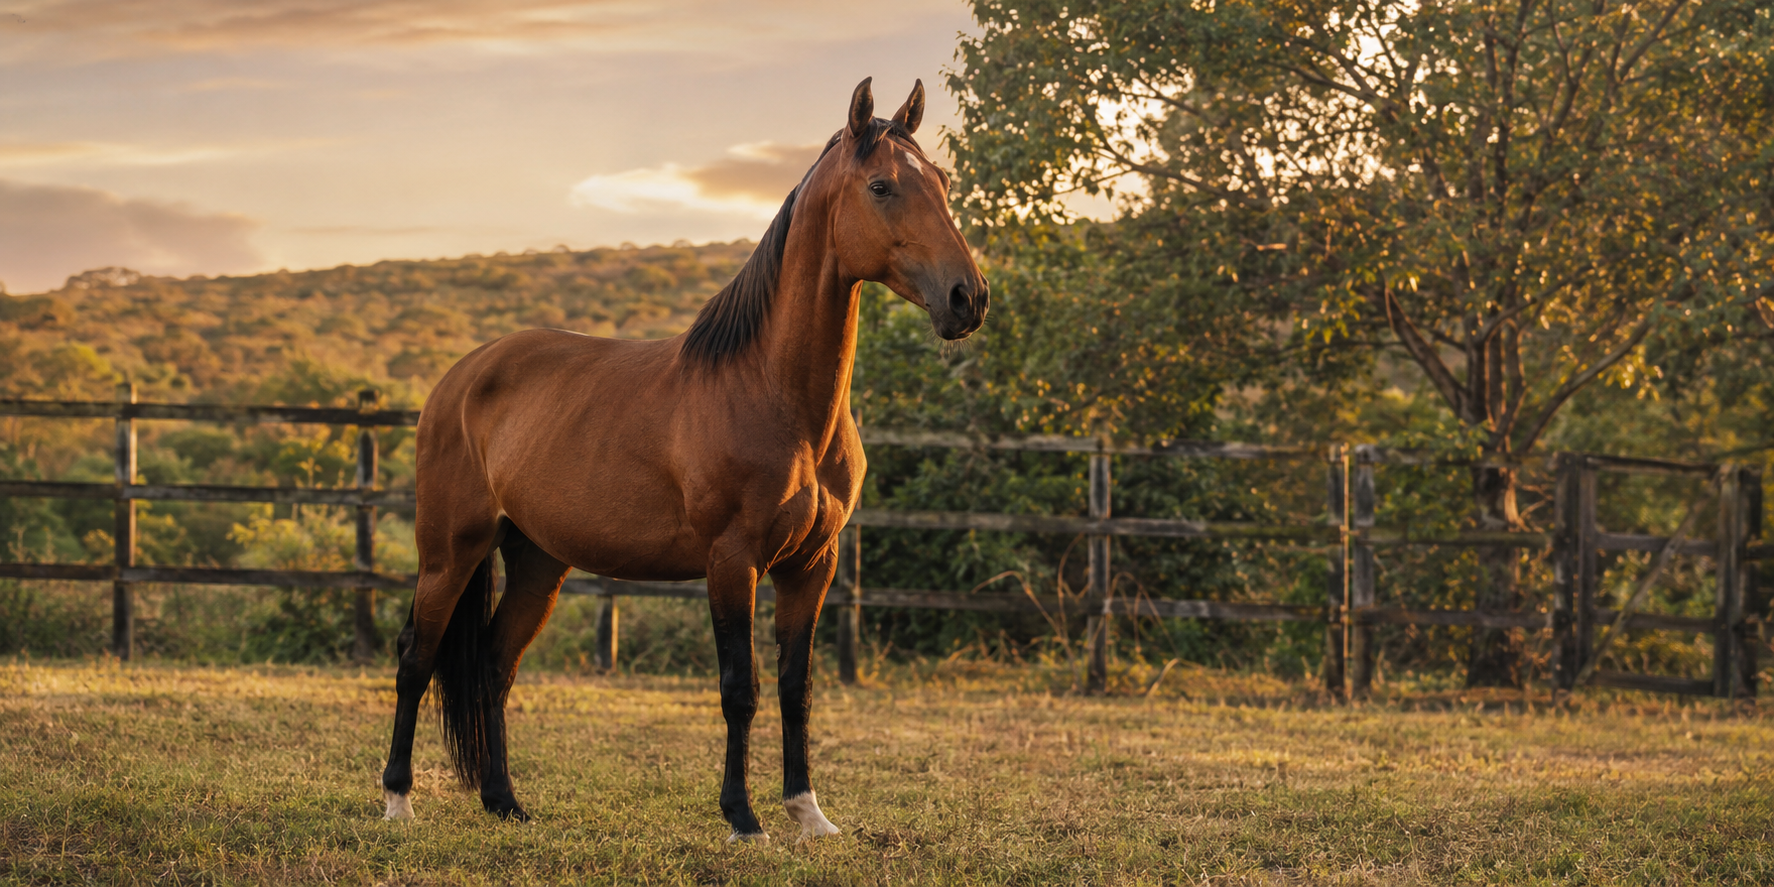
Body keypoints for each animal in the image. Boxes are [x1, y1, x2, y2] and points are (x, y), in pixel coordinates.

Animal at [378, 77, 988, 842]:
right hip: (450, 551)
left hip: (538, 562)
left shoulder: (812, 566)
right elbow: (739, 688)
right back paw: (398, 800)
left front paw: (808, 812)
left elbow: (795, 687)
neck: (770, 392)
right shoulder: (732, 562)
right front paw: (743, 817)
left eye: (942, 181)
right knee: (416, 657)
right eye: (881, 186)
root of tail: (458, 378)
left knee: (493, 663)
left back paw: (505, 801)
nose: (968, 297)